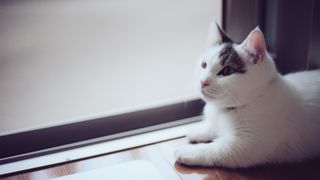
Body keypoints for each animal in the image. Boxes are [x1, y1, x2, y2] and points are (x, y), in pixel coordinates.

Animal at [174, 23, 320, 167]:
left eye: (227, 71)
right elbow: (215, 127)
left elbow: (214, 150)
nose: (202, 82)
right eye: (204, 65)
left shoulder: (245, 145)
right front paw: (200, 130)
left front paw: (186, 151)